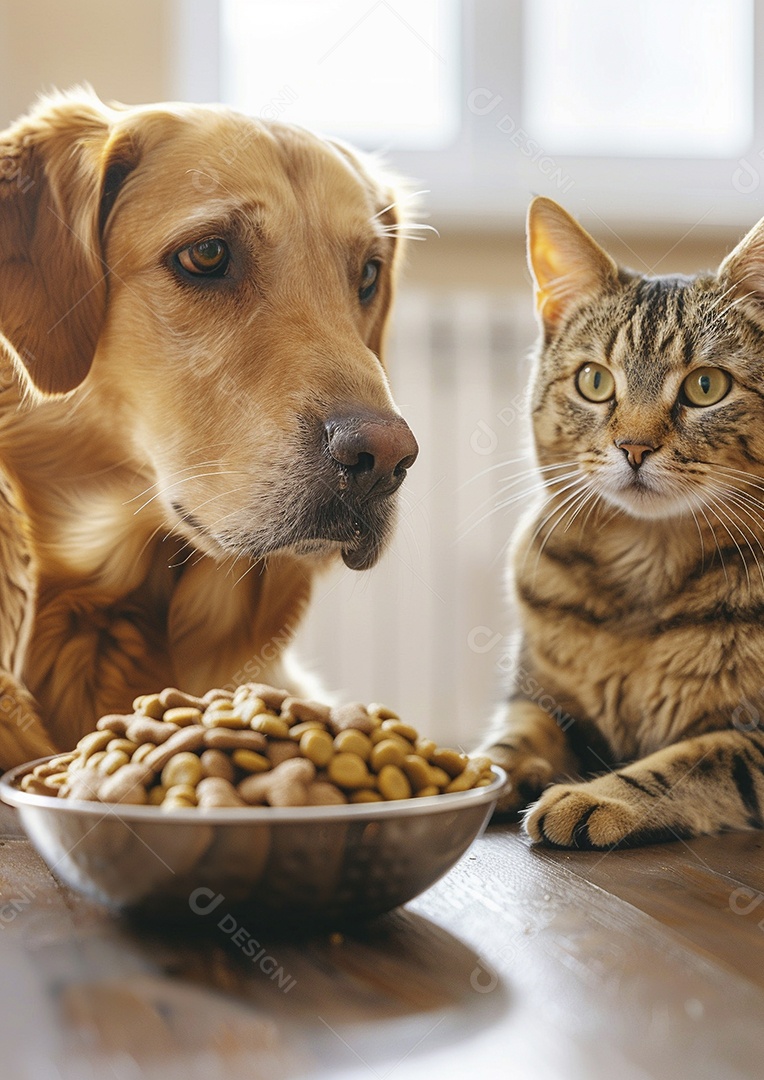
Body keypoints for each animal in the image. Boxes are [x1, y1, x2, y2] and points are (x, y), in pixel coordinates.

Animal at [484, 198, 764, 846]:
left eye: (706, 385)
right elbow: (514, 737)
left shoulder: (755, 741)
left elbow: (696, 758)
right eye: (594, 381)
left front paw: (595, 797)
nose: (634, 447)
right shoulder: (538, 696)